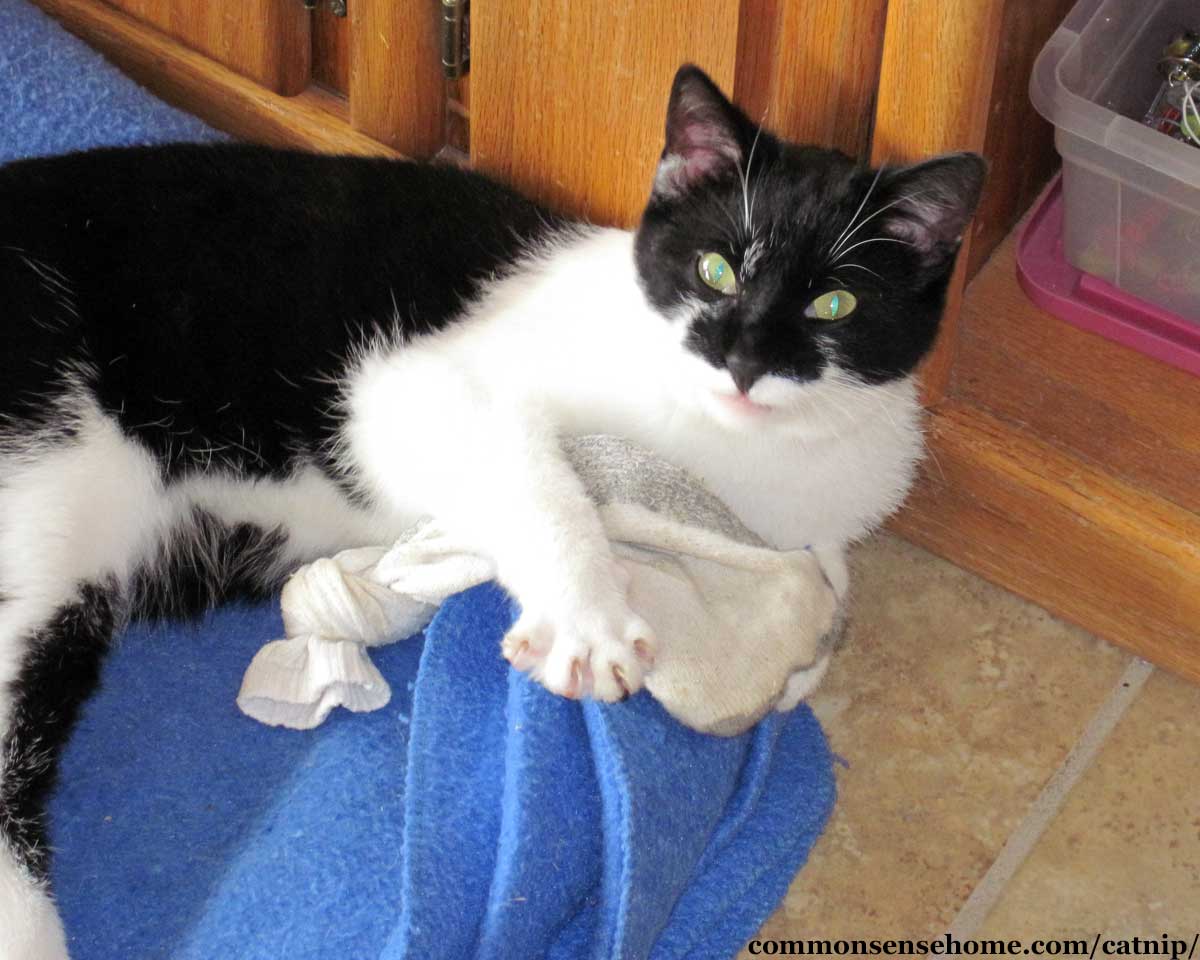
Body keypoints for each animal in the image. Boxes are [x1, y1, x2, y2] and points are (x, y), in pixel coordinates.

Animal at [0, 65, 984, 950]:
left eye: (835, 303)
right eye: (715, 269)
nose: (743, 361)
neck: (725, 445)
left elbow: (824, 585)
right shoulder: (408, 389)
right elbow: (535, 475)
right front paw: (588, 621)